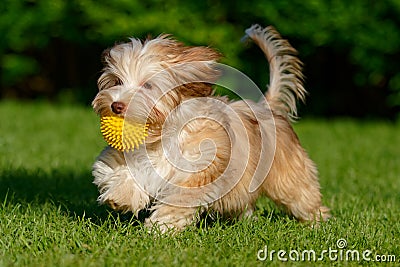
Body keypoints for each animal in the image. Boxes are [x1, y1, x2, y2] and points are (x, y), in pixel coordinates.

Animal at [92, 25, 330, 234]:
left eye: (148, 85)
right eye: (117, 81)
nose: (116, 105)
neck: (161, 134)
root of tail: (266, 107)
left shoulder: (198, 169)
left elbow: (178, 200)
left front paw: (161, 228)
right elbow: (115, 169)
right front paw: (121, 196)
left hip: (287, 175)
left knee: (301, 196)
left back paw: (316, 223)